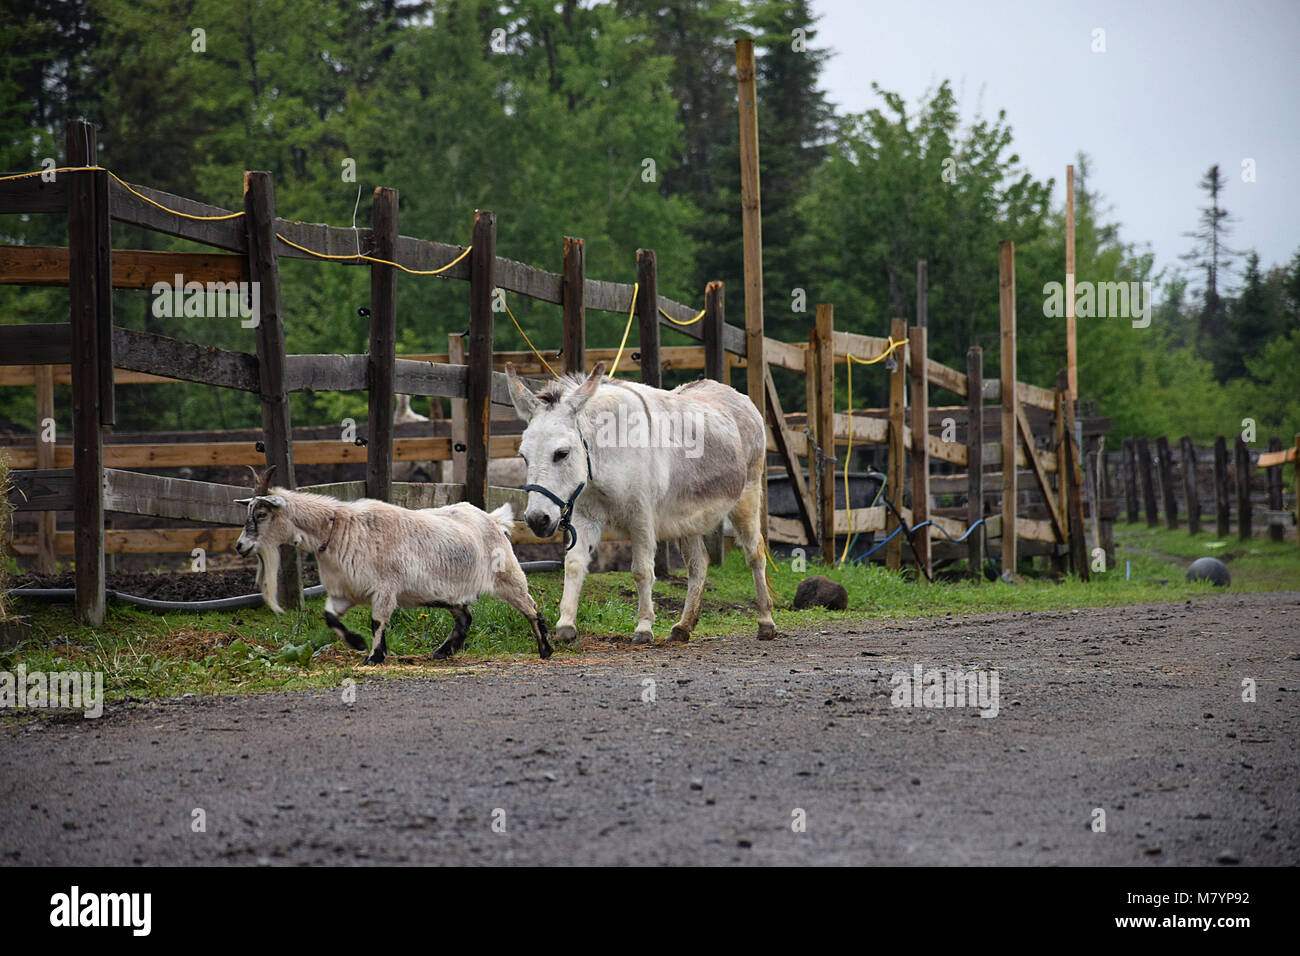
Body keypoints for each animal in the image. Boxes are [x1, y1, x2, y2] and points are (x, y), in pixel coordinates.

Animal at [233, 465, 548, 665]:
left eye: (261, 514)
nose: (240, 546)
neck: (339, 529)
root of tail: (493, 519)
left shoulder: (385, 587)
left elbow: (377, 620)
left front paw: (373, 656)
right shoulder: (344, 591)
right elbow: (330, 617)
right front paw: (359, 644)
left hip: (508, 575)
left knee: (531, 608)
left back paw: (545, 648)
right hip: (443, 591)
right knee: (464, 616)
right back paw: (443, 651)